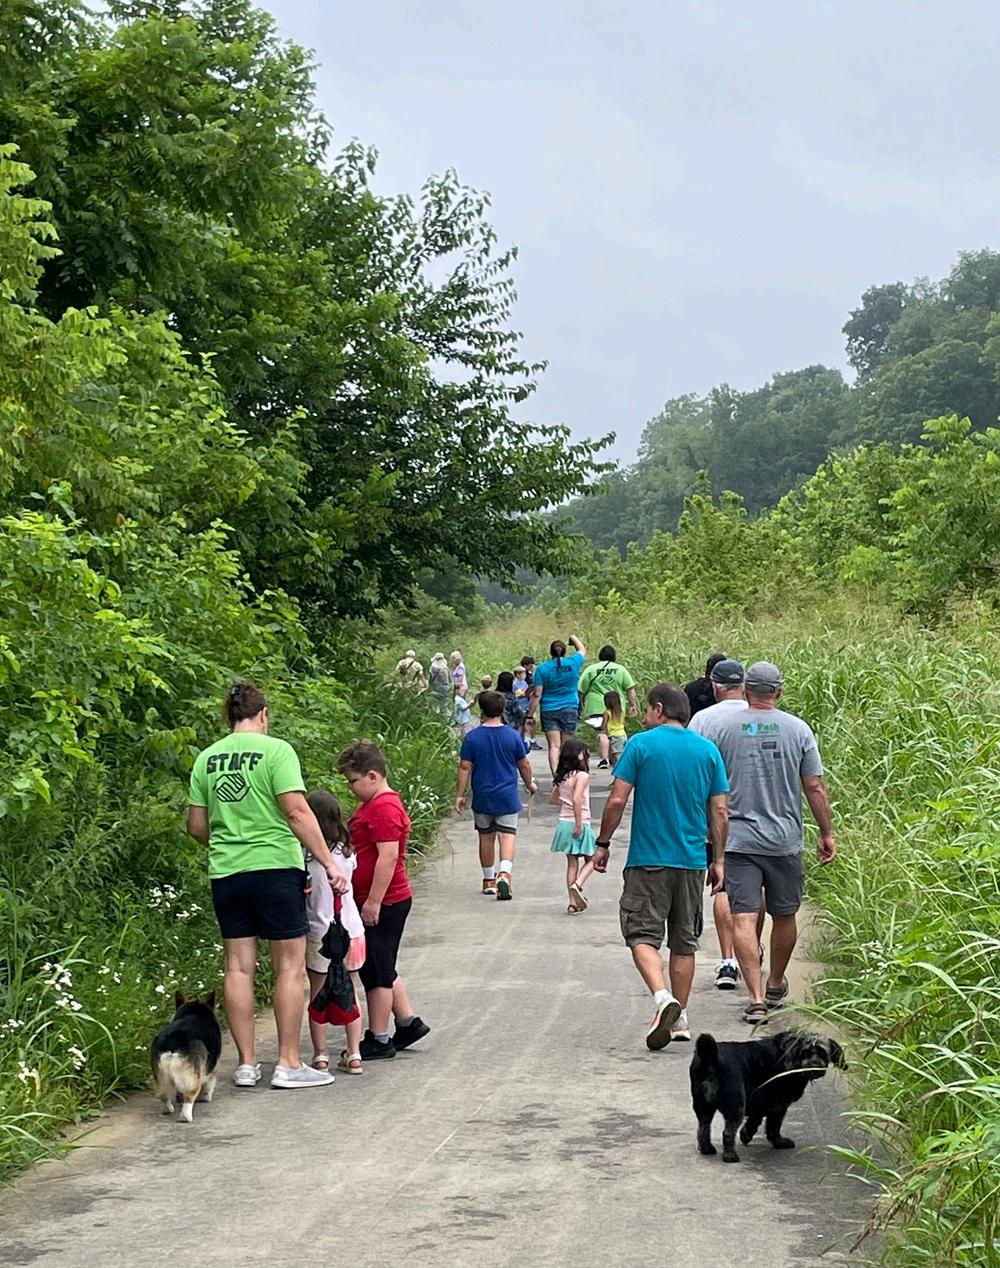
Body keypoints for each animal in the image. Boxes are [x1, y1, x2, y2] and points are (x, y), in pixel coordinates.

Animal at [150, 991, 222, 1123]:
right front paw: (206, 1097)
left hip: (160, 1075)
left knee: (164, 1095)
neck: (195, 1011)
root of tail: (173, 1041)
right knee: (189, 1096)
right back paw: (186, 1117)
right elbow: (210, 1084)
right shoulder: (213, 1068)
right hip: (192, 1078)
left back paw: (168, 1109)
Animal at [689, 1029, 846, 1163]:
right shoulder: (779, 1105)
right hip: (736, 1107)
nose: (814, 1065)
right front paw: (778, 1142)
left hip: (703, 1107)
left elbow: (755, 1120)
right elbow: (773, 1126)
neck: (792, 1051)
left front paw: (746, 1134)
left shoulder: (761, 1102)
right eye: (805, 1052)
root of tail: (711, 1059)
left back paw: (707, 1148)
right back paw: (730, 1156)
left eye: (822, 1052)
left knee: (703, 1128)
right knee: (727, 1133)